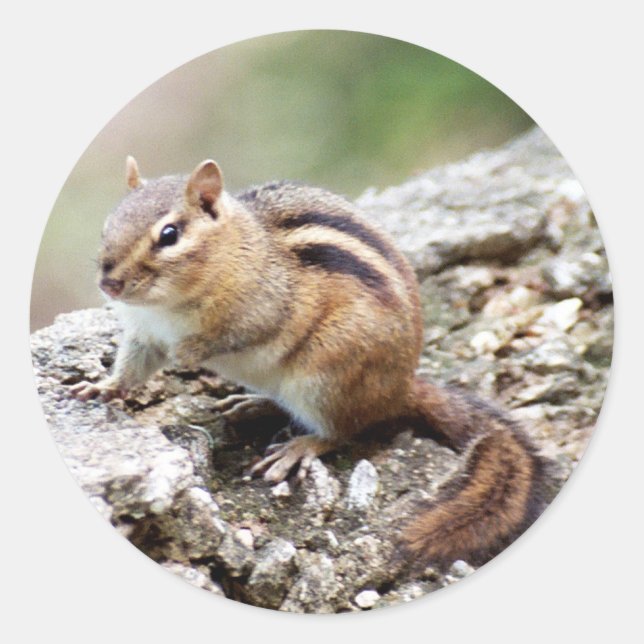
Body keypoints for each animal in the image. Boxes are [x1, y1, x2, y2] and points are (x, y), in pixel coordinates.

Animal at [71, 157, 547, 568]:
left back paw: (299, 447)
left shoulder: (264, 305)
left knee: (344, 432)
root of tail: (399, 389)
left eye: (169, 235)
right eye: (108, 226)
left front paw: (189, 352)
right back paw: (253, 405)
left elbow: (235, 334)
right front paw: (102, 387)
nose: (109, 283)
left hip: (325, 378)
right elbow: (132, 366)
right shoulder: (143, 332)